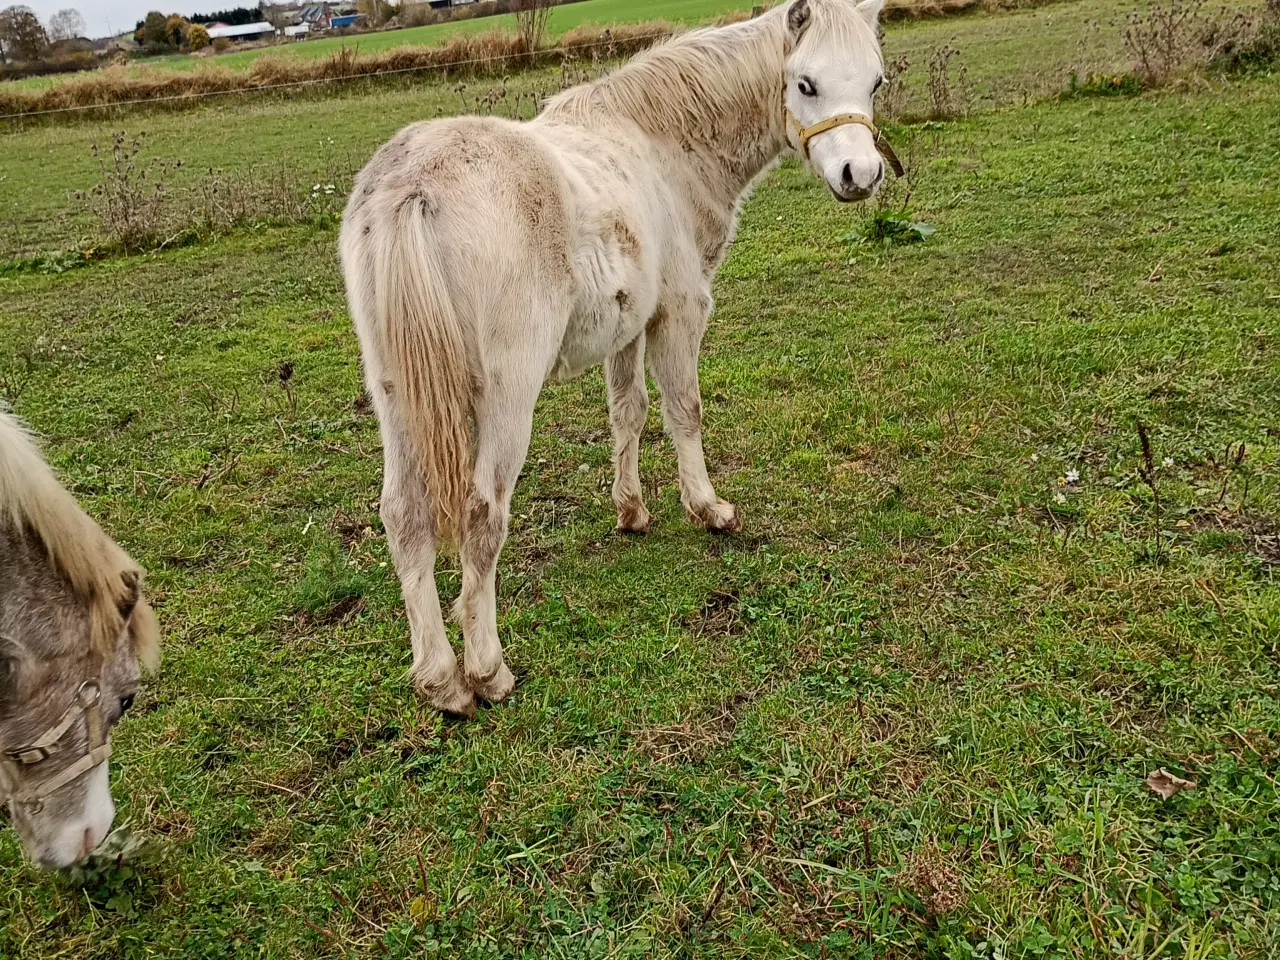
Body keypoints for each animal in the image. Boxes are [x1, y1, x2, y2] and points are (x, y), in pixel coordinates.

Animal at [345, 0, 896, 716]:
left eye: (876, 82)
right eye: (804, 83)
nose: (861, 176)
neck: (663, 147)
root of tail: (411, 188)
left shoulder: (629, 326)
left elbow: (626, 412)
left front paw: (631, 511)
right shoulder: (682, 312)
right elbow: (683, 411)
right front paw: (708, 509)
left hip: (397, 399)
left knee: (404, 518)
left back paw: (441, 681)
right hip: (506, 395)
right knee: (481, 517)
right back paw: (487, 673)